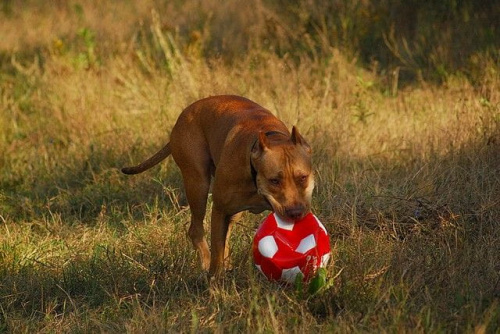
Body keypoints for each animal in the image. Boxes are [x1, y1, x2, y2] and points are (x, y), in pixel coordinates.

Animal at [121, 94, 312, 276]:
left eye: (303, 178)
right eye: (274, 181)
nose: (295, 212)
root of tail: (185, 113)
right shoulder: (219, 210)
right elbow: (216, 253)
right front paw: (215, 280)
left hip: (233, 211)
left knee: (225, 237)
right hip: (198, 185)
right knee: (196, 230)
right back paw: (207, 264)